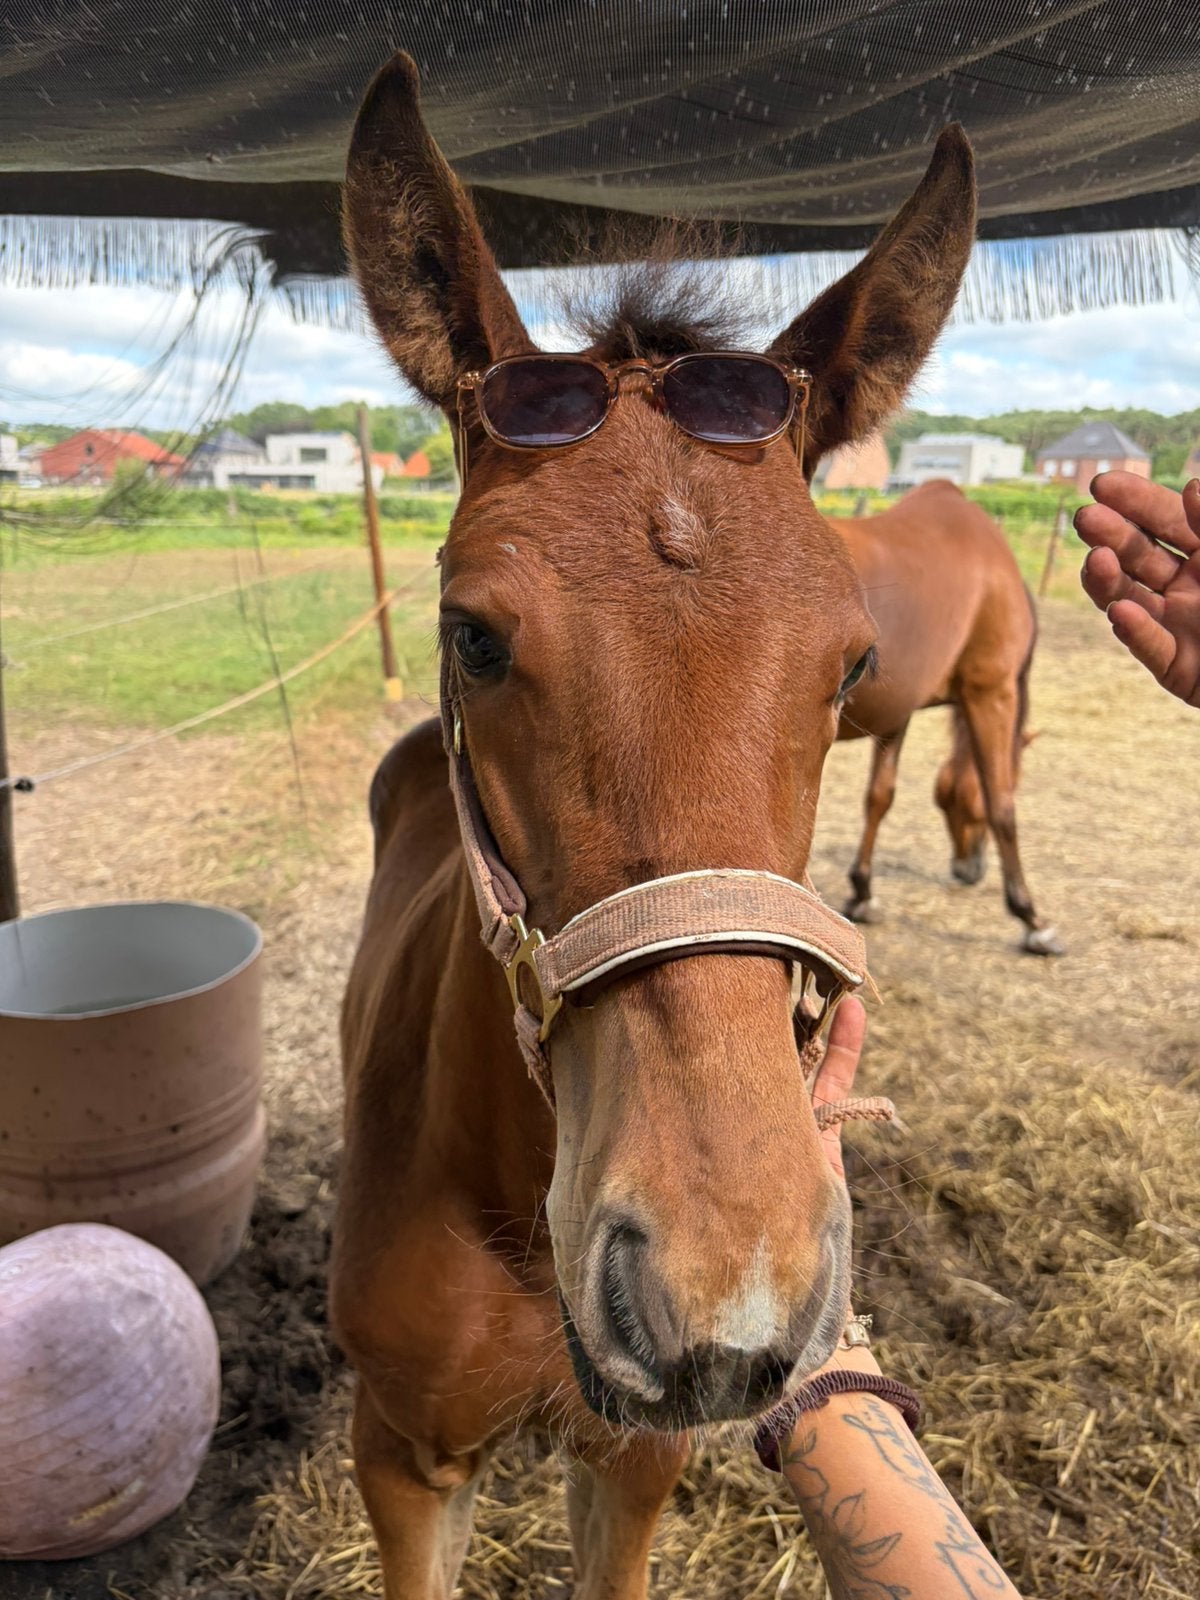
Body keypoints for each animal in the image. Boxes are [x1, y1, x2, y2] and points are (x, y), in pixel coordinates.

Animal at [830, 488, 1062, 954]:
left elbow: (879, 796)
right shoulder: (991, 692)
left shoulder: (896, 710)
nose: (967, 869)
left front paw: (862, 891)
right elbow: (1001, 801)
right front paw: (1030, 917)